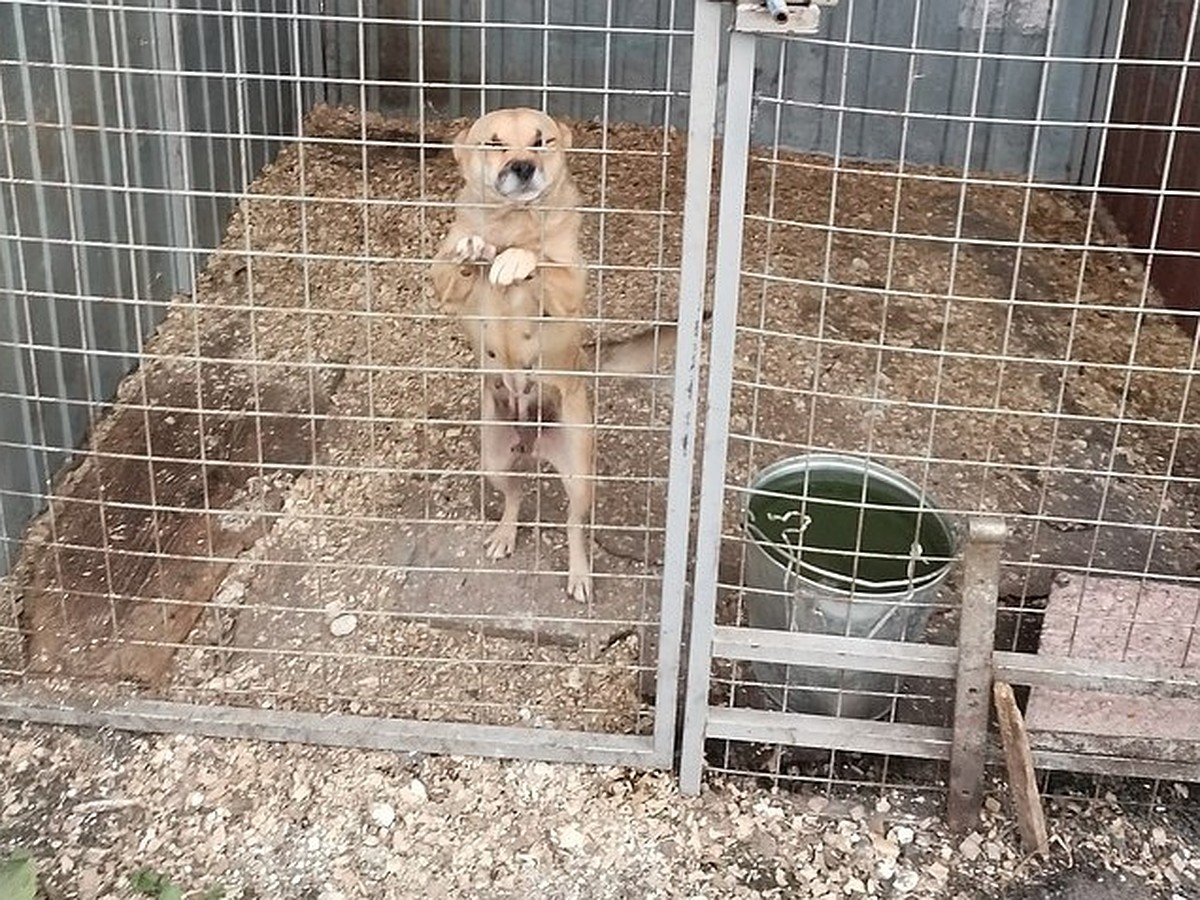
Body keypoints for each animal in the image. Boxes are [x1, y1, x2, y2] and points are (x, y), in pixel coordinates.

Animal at [432, 107, 676, 607]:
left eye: (541, 141)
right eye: (494, 143)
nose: (524, 167)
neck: (513, 220)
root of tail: (533, 442)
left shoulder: (569, 286)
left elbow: (542, 260)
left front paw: (515, 260)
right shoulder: (440, 282)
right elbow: (456, 260)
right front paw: (477, 250)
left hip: (580, 476)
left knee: (574, 525)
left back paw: (580, 574)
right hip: (494, 460)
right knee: (515, 496)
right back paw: (505, 534)